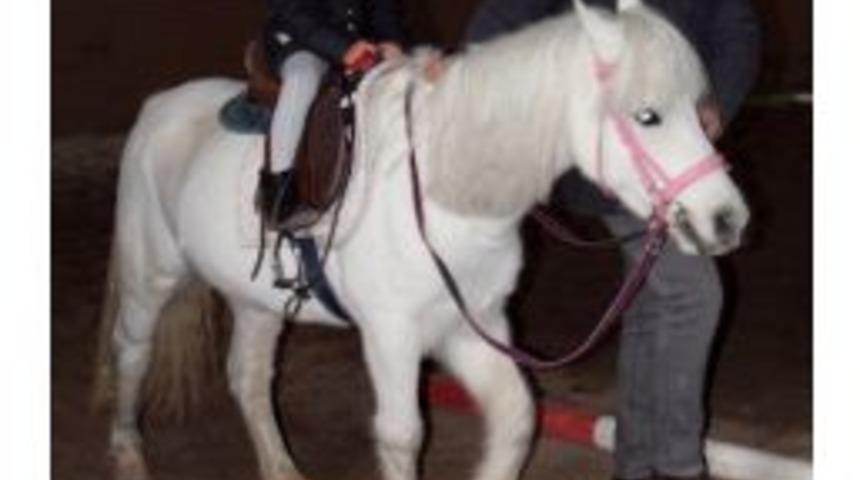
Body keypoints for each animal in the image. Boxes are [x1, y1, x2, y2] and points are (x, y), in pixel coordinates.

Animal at [95, 1, 749, 479]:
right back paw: (127, 455)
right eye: (647, 116)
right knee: (132, 351)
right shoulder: (392, 336)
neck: (445, 194)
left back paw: (281, 468)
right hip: (150, 279)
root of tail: (159, 105)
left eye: (697, 109)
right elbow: (402, 436)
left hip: (257, 301)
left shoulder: (470, 326)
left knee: (249, 379)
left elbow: (515, 418)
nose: (728, 220)